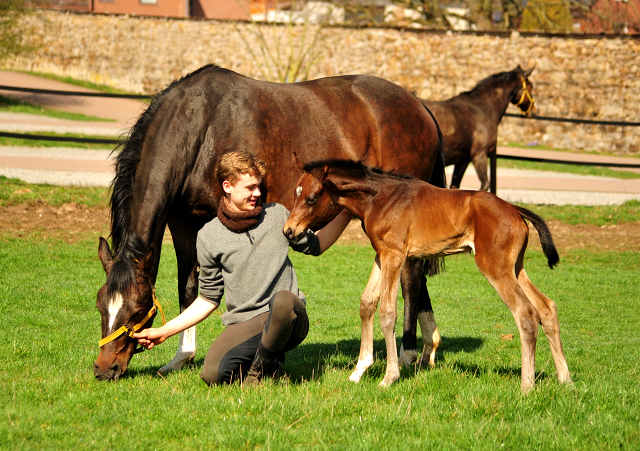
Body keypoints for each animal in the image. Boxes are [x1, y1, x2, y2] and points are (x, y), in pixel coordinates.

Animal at [94, 63, 444, 382]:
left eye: (138, 309)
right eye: (100, 306)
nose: (104, 369)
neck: (199, 126)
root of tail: (420, 107)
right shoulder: (182, 222)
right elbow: (189, 287)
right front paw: (182, 357)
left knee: (411, 278)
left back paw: (409, 352)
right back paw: (429, 346)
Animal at [282, 162, 572, 392]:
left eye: (311, 197)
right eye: (296, 193)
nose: (289, 230)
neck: (380, 198)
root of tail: (515, 209)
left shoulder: (395, 255)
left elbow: (388, 312)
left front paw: (389, 377)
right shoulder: (382, 254)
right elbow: (367, 303)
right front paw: (359, 370)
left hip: (496, 268)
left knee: (526, 313)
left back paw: (527, 386)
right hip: (516, 268)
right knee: (547, 308)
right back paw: (565, 380)